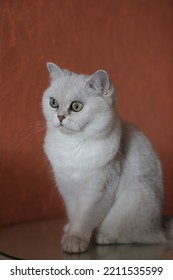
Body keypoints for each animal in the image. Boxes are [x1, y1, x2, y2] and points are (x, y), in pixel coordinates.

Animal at [42, 63, 173, 254]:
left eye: (76, 106)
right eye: (53, 103)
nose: (59, 117)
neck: (72, 146)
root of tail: (161, 224)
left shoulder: (99, 188)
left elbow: (84, 218)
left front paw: (75, 240)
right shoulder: (67, 187)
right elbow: (74, 214)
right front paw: (70, 233)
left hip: (135, 199)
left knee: (145, 237)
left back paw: (104, 237)